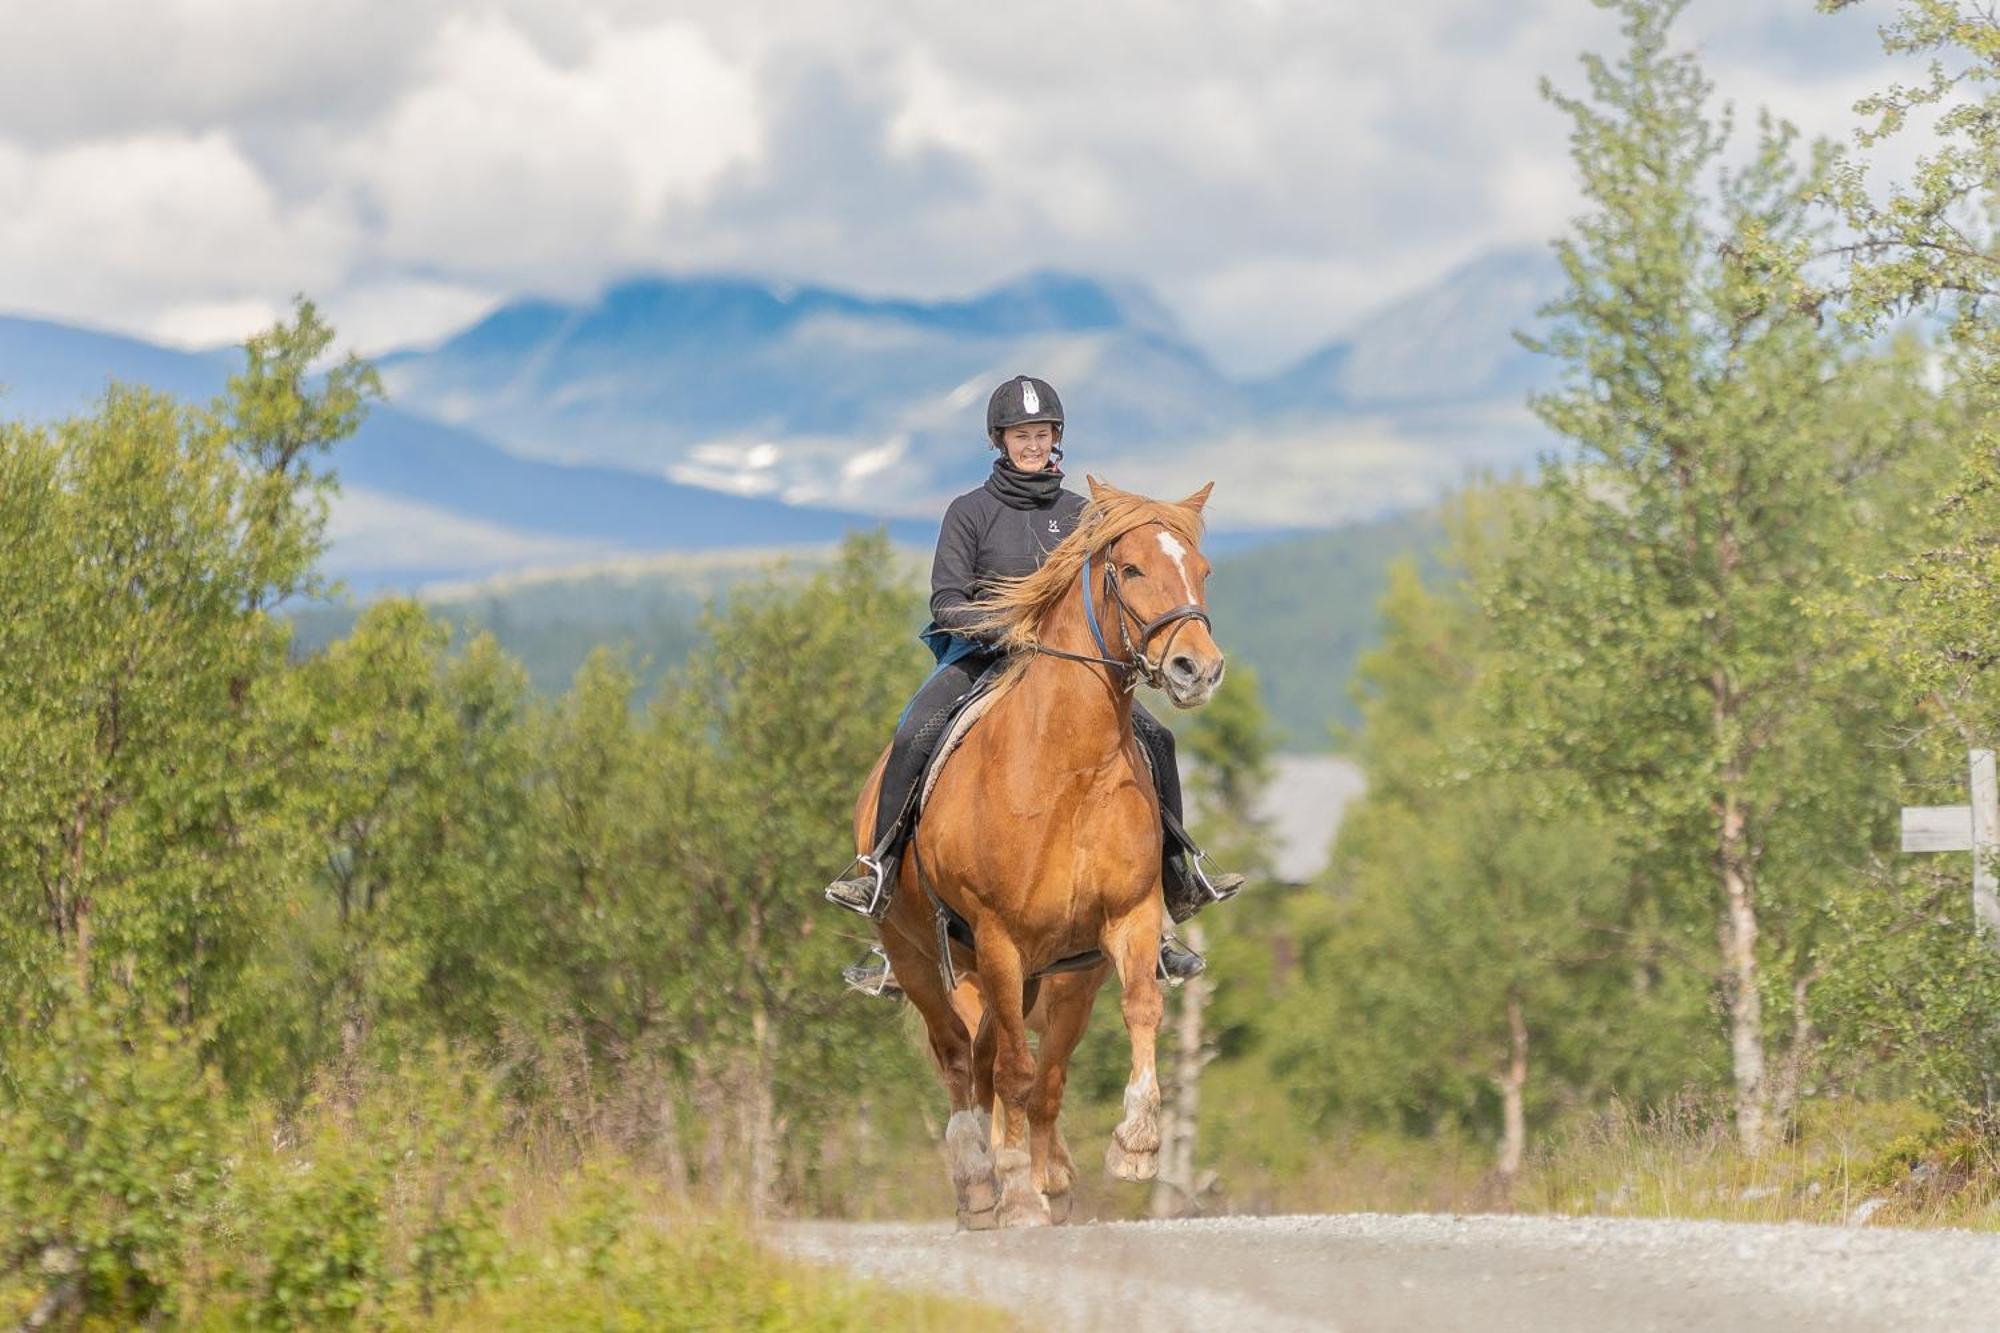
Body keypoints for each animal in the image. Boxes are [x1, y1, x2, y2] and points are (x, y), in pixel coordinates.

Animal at [844, 474, 1216, 1224]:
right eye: (1132, 569)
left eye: (1202, 569)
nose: (1199, 668)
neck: (1071, 767)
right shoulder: (1000, 937)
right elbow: (1012, 1067)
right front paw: (1017, 1187)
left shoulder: (1122, 926)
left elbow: (1126, 1020)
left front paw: (1134, 1144)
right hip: (920, 954)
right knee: (959, 1056)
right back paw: (976, 1180)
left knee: (999, 1058)